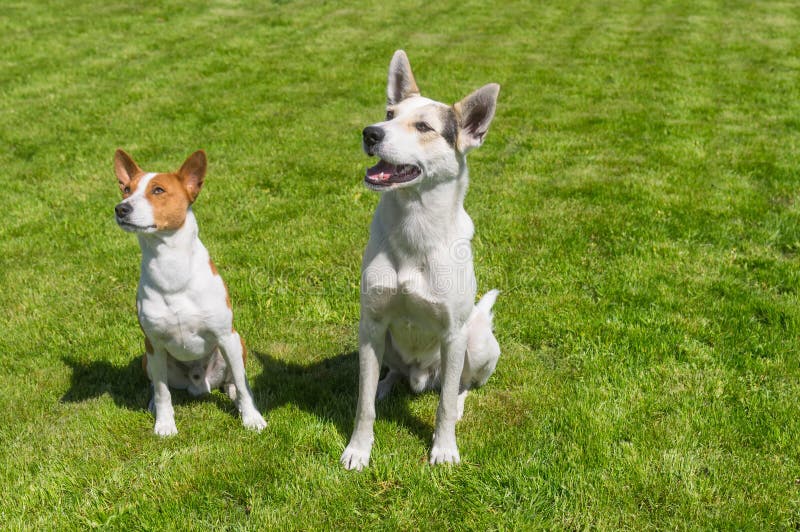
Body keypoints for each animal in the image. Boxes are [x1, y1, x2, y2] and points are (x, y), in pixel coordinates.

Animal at [114, 148, 268, 434]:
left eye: (158, 190)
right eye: (126, 190)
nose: (121, 208)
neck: (171, 269)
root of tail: (199, 385)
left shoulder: (226, 335)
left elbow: (244, 386)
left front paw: (251, 418)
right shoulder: (154, 344)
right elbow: (162, 392)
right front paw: (165, 424)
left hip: (236, 344)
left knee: (234, 380)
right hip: (147, 359)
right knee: (158, 386)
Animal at [340, 51, 504, 470]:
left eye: (424, 126)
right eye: (389, 113)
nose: (370, 133)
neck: (414, 229)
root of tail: (421, 377)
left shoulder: (453, 334)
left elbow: (443, 404)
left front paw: (444, 449)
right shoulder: (372, 323)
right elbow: (363, 404)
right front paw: (358, 450)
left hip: (476, 342)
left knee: (460, 384)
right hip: (381, 342)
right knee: (391, 376)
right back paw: (386, 385)